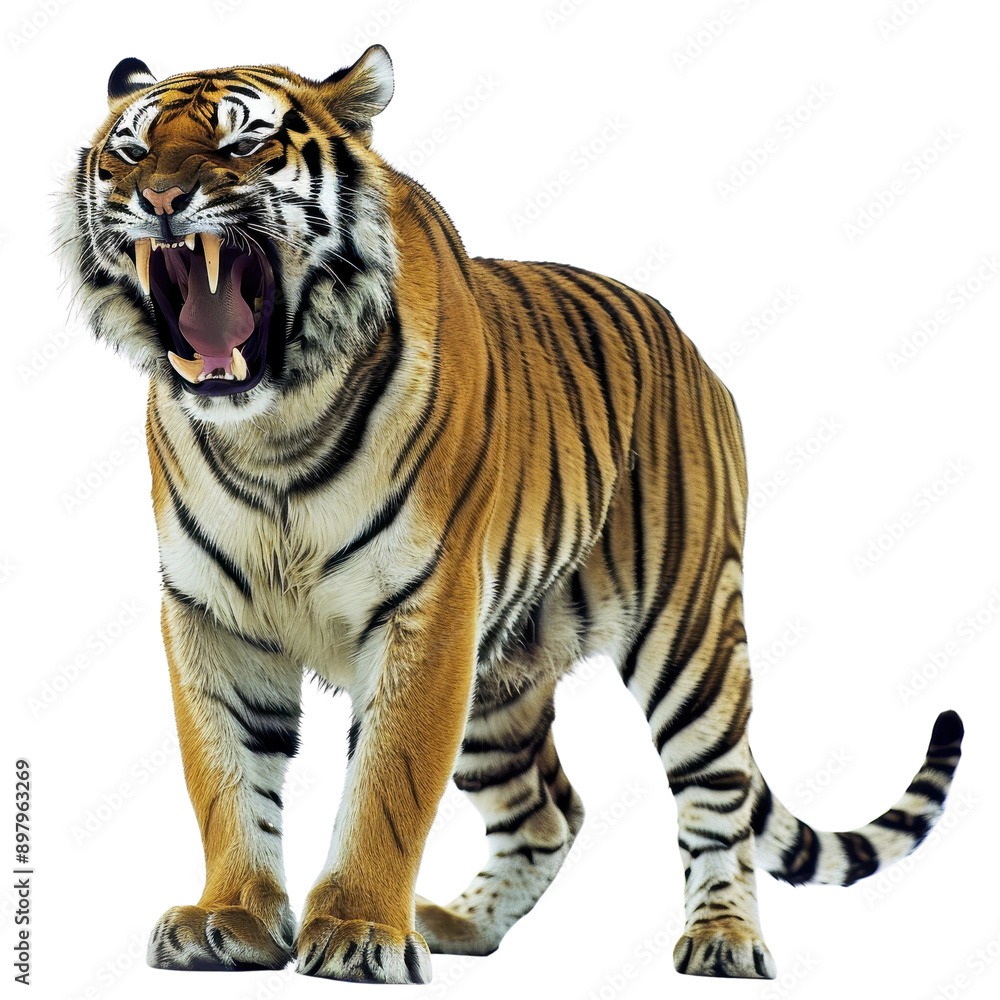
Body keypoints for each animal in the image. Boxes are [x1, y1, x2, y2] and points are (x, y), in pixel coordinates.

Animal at [56, 45, 964, 985]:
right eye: (130, 152)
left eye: (244, 145)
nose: (161, 200)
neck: (275, 428)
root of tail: (692, 348)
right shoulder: (211, 614)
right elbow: (226, 774)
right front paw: (229, 920)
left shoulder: (426, 610)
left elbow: (387, 784)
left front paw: (357, 933)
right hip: (499, 682)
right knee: (549, 811)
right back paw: (459, 922)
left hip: (691, 636)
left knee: (719, 796)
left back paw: (722, 939)